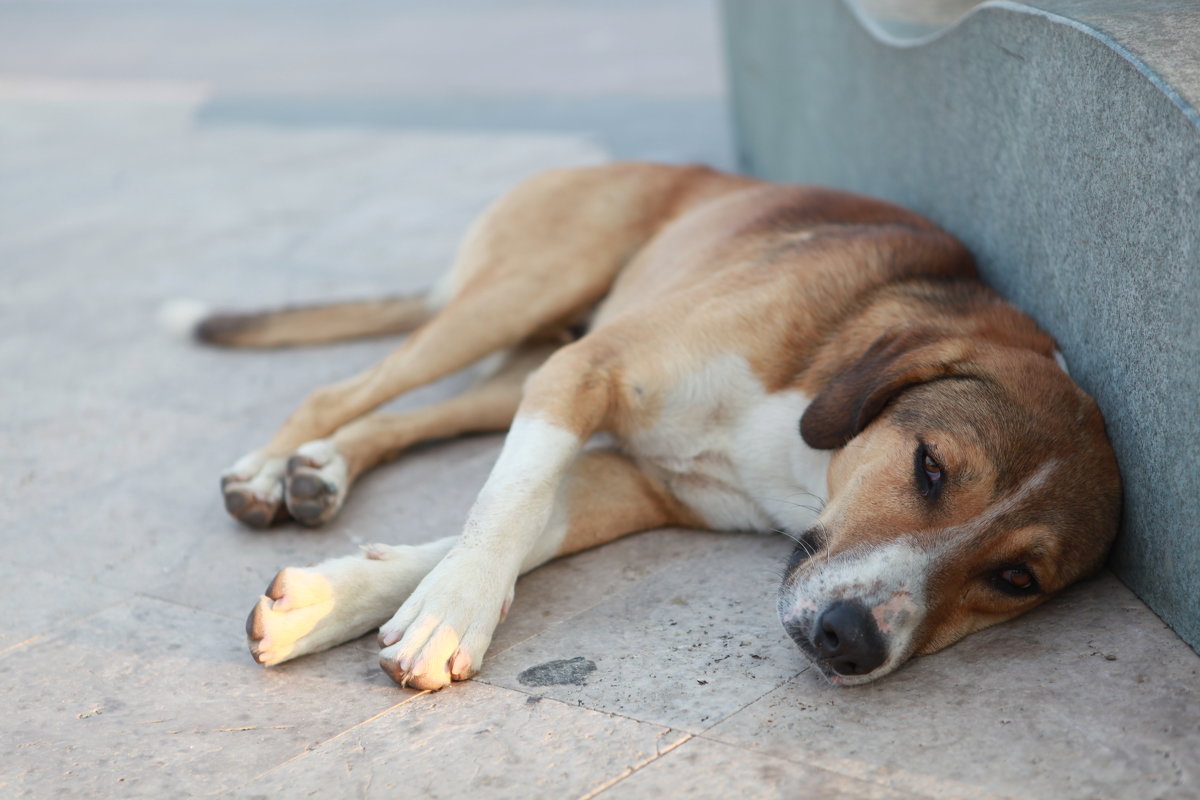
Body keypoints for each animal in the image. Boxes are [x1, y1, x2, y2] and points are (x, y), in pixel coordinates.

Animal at [175, 160, 1123, 690]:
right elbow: (506, 509)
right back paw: (266, 470)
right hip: (526, 294)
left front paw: (343, 602)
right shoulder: (587, 374)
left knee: (408, 416)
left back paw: (319, 471)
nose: (849, 641)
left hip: (522, 362)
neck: (801, 454)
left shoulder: (629, 480)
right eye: (930, 467)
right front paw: (448, 616)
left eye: (1015, 579)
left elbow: (511, 527)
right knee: (341, 389)